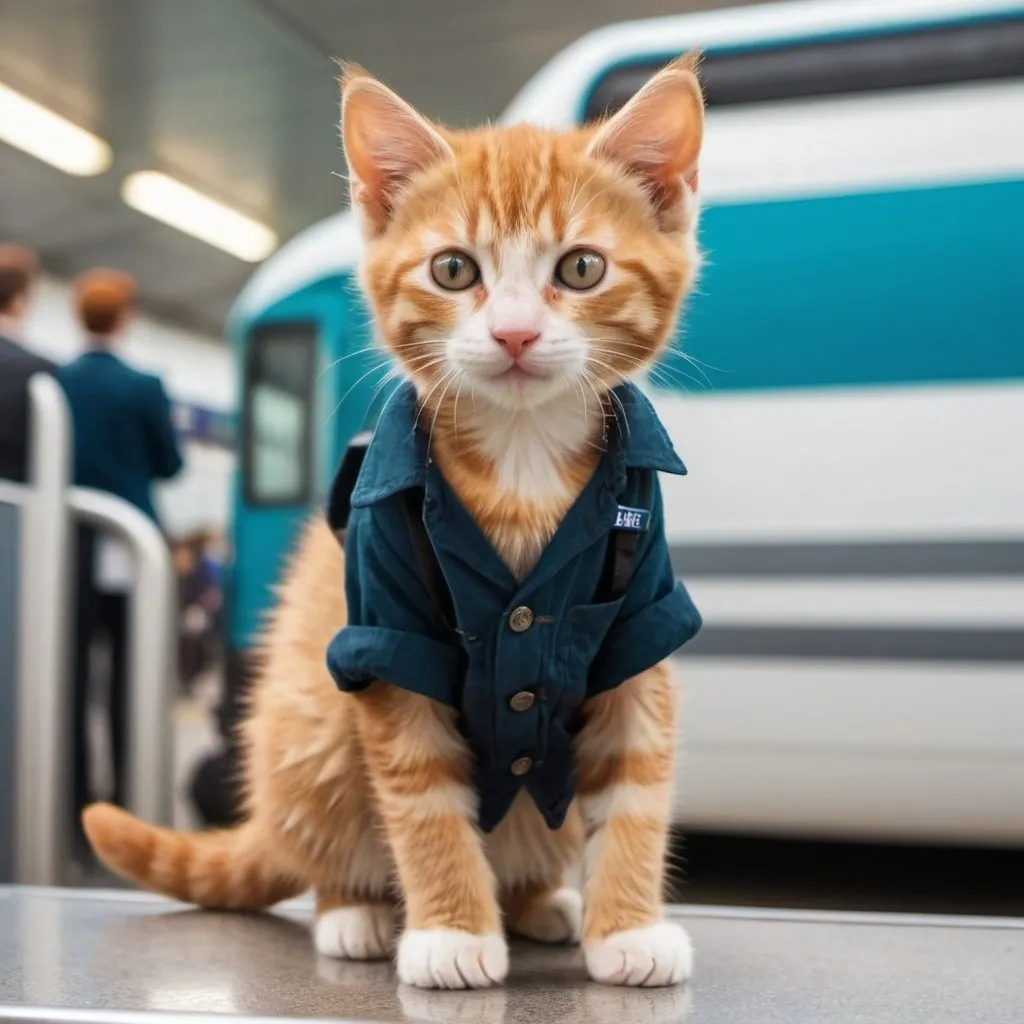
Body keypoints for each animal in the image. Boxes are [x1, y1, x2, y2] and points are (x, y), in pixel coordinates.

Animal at [86, 58, 704, 991]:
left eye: (582, 268)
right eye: (452, 270)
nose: (515, 334)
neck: (521, 457)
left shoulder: (637, 622)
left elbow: (637, 777)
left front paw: (628, 927)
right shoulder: (384, 628)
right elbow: (421, 794)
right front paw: (451, 931)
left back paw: (542, 903)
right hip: (306, 717)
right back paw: (357, 913)